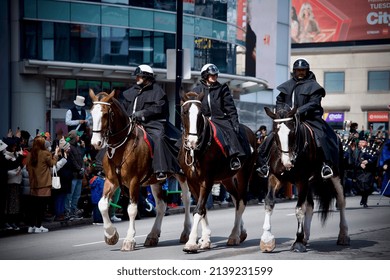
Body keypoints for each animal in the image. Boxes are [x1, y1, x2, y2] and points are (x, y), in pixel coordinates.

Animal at [88, 89, 192, 252]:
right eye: (92, 112)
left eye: (105, 113)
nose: (95, 143)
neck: (122, 146)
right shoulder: (111, 181)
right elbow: (102, 205)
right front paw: (111, 235)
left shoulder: (134, 182)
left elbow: (132, 209)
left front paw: (129, 240)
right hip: (156, 181)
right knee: (161, 205)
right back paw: (153, 235)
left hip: (182, 175)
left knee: (186, 199)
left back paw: (186, 232)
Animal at [178, 91, 258, 253]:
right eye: (184, 112)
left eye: (200, 113)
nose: (192, 142)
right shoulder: (192, 181)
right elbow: (202, 209)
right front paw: (205, 240)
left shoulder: (206, 180)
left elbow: (199, 209)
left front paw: (191, 243)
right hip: (226, 179)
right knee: (236, 199)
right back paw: (240, 233)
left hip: (243, 174)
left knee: (241, 202)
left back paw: (234, 236)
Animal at [258, 105, 350, 254]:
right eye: (275, 133)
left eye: (292, 132)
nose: (287, 162)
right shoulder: (275, 177)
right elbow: (269, 202)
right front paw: (267, 240)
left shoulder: (302, 180)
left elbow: (299, 209)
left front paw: (298, 242)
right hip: (309, 183)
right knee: (310, 206)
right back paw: (306, 236)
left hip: (336, 176)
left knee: (341, 202)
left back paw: (343, 235)